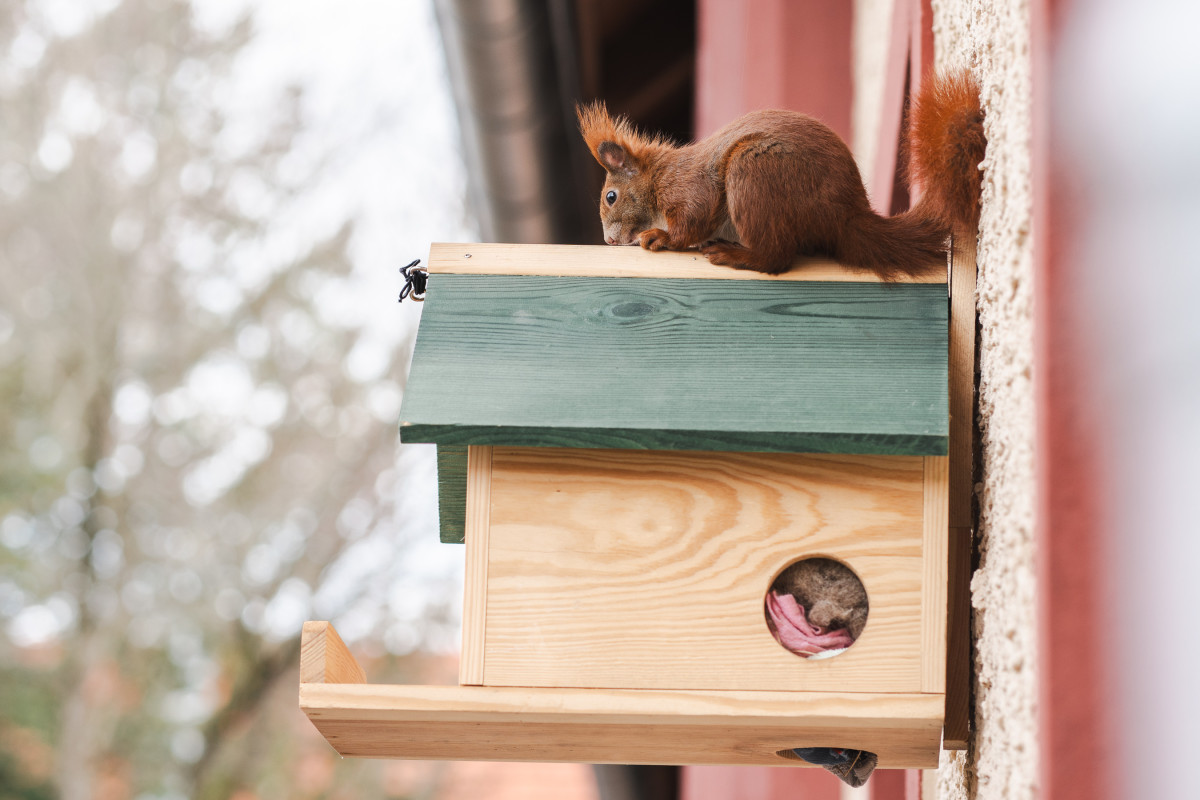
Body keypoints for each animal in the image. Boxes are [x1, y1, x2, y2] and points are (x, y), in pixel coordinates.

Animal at [578, 70, 984, 281]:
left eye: (611, 197)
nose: (609, 240)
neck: (657, 176)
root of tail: (846, 216)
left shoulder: (687, 187)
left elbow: (692, 220)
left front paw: (660, 237)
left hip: (753, 174)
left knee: (777, 258)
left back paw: (734, 255)